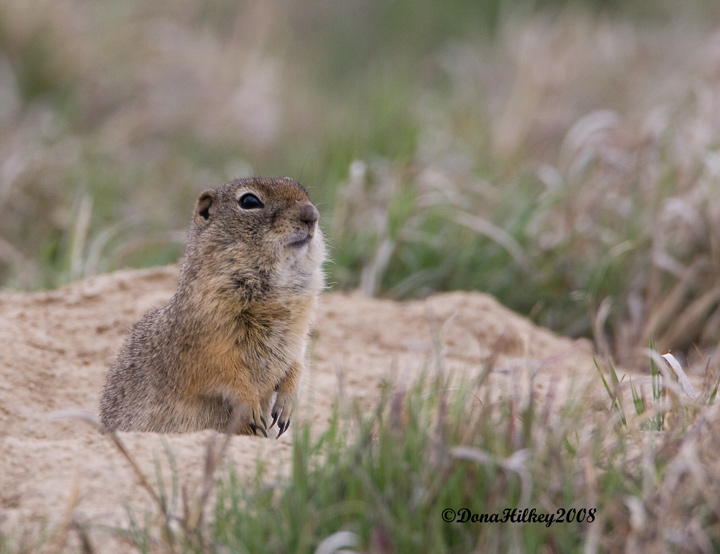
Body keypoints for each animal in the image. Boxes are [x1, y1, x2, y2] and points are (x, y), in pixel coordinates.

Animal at [99, 177, 326, 436]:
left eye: (303, 191)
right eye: (249, 201)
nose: (312, 215)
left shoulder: (297, 337)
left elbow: (296, 365)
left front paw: (285, 409)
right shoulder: (206, 342)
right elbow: (226, 374)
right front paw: (253, 411)